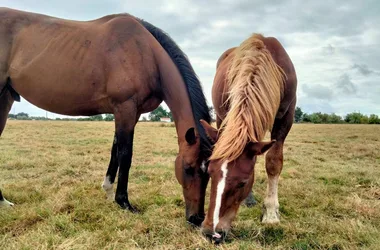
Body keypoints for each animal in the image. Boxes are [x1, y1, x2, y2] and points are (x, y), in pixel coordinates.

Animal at [0, 8, 211, 227]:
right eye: (188, 168)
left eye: (209, 173)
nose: (197, 218)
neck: (146, 53)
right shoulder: (125, 107)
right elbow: (125, 154)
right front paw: (124, 202)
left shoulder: (131, 113)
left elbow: (115, 149)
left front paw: (108, 190)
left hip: (5, 98)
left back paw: (3, 202)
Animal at [199, 34, 296, 243]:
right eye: (209, 173)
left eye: (243, 182)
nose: (211, 232)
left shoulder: (286, 118)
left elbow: (273, 162)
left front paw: (270, 213)